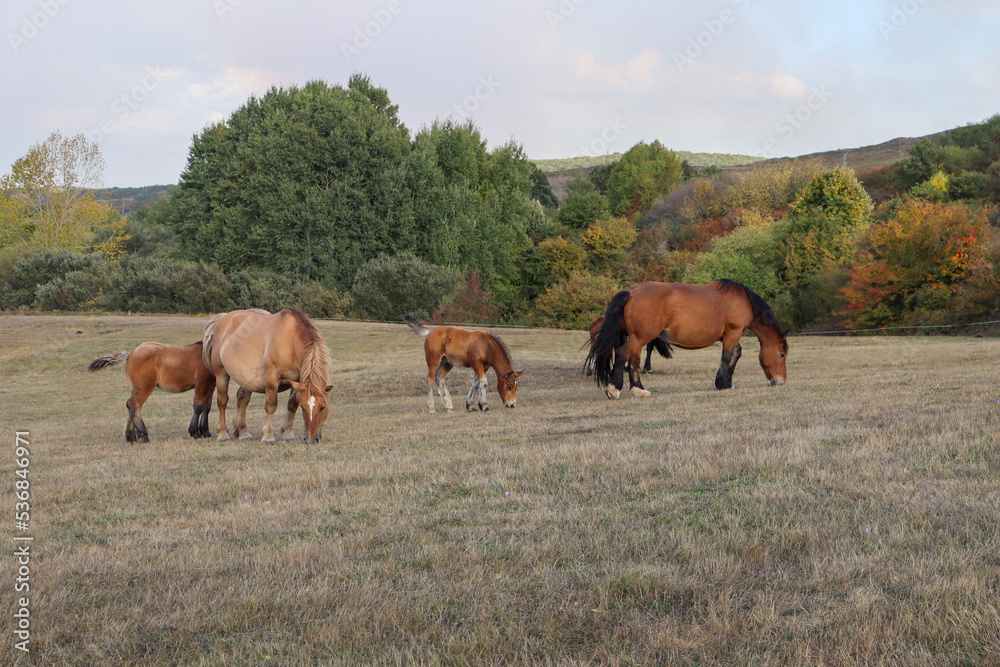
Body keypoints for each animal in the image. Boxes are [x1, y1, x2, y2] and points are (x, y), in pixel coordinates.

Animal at [202, 308, 332, 444]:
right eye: (303, 406)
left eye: (323, 407)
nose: (311, 439)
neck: (289, 341)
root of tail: (223, 317)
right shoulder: (272, 378)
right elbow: (271, 406)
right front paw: (268, 436)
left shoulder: (298, 381)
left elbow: (292, 405)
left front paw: (287, 433)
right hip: (221, 373)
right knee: (222, 401)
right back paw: (222, 434)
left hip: (246, 379)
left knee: (242, 400)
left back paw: (243, 432)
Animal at [584, 280, 788, 400]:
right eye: (782, 354)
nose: (780, 381)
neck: (743, 301)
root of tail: (631, 293)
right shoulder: (733, 332)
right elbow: (727, 356)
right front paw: (723, 384)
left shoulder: (729, 336)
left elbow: (735, 353)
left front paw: (726, 382)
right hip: (640, 338)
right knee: (621, 355)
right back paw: (613, 389)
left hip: (637, 338)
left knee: (633, 362)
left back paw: (638, 389)